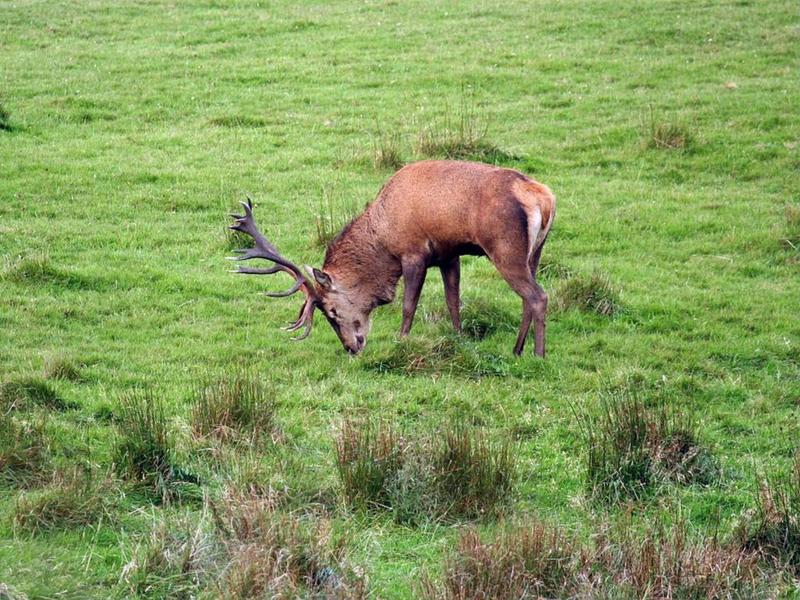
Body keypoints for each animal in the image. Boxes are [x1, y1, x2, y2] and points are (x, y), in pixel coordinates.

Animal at [228, 160, 556, 357]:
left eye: (331, 311)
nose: (351, 348)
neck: (383, 234)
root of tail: (544, 197)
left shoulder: (412, 253)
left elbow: (409, 304)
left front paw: (402, 340)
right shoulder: (449, 254)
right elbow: (453, 301)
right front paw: (459, 338)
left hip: (505, 249)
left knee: (538, 296)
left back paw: (537, 354)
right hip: (534, 253)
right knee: (528, 297)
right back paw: (516, 349)